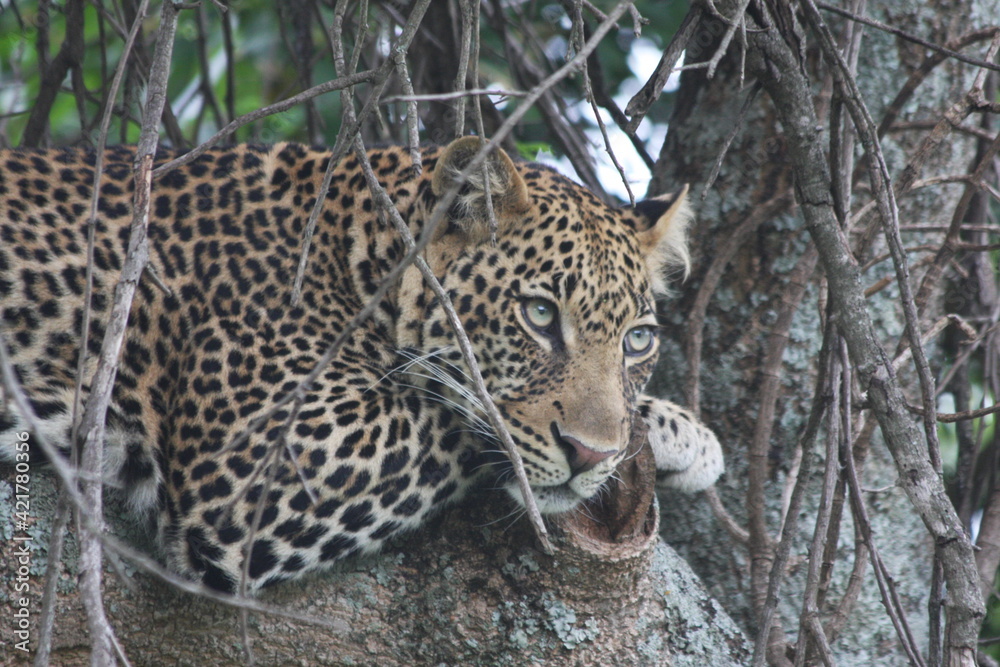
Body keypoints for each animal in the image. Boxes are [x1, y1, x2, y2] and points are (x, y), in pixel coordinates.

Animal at [0, 136, 723, 593]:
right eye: (541, 313)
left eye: (637, 341)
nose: (589, 454)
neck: (357, 254)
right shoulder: (259, 458)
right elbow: (450, 413)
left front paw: (681, 435)